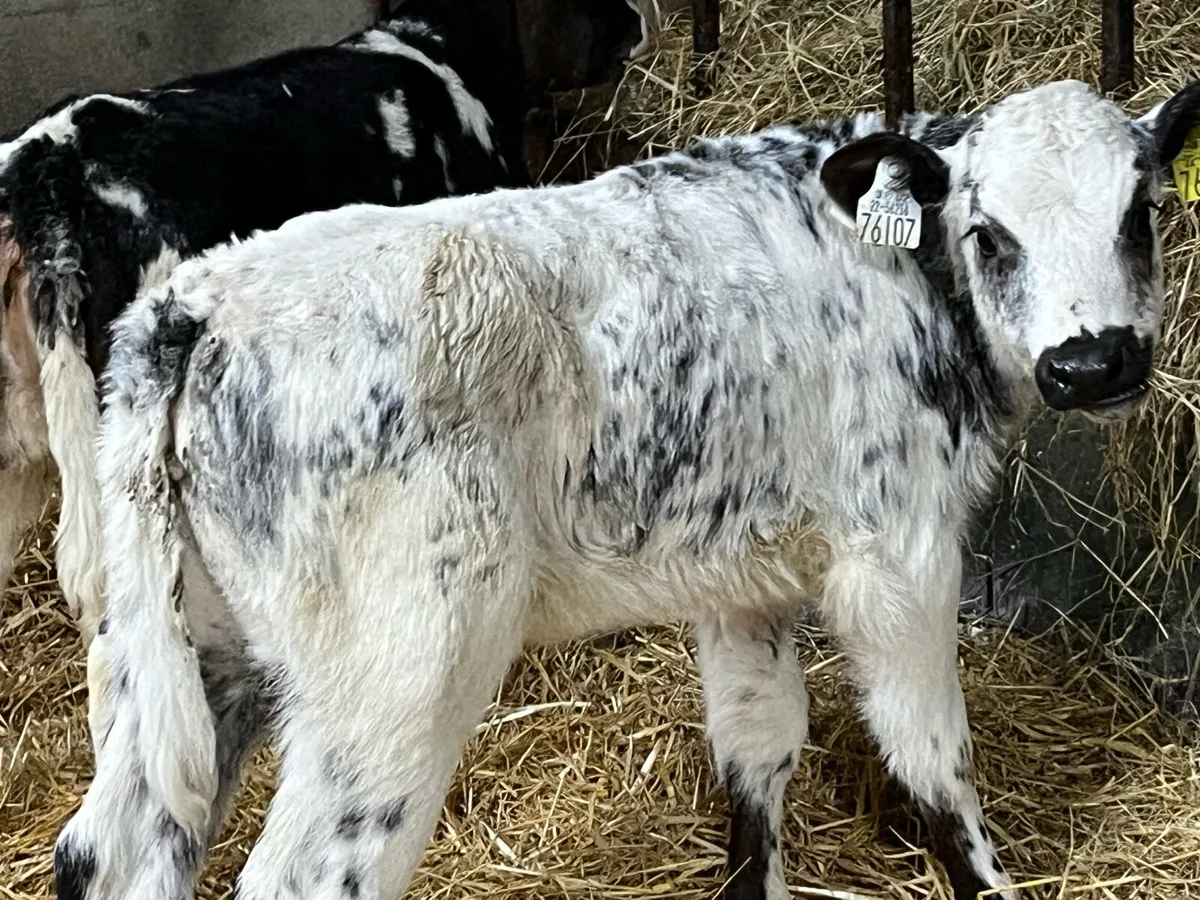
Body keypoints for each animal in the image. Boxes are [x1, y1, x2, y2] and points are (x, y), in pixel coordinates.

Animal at [55, 78, 1200, 900]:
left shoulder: (745, 576)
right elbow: (933, 764)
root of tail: (195, 303)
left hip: (188, 655)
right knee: (304, 876)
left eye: (1142, 213)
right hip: (395, 677)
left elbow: (758, 748)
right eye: (988, 234)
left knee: (110, 850)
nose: (1093, 362)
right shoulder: (899, 553)